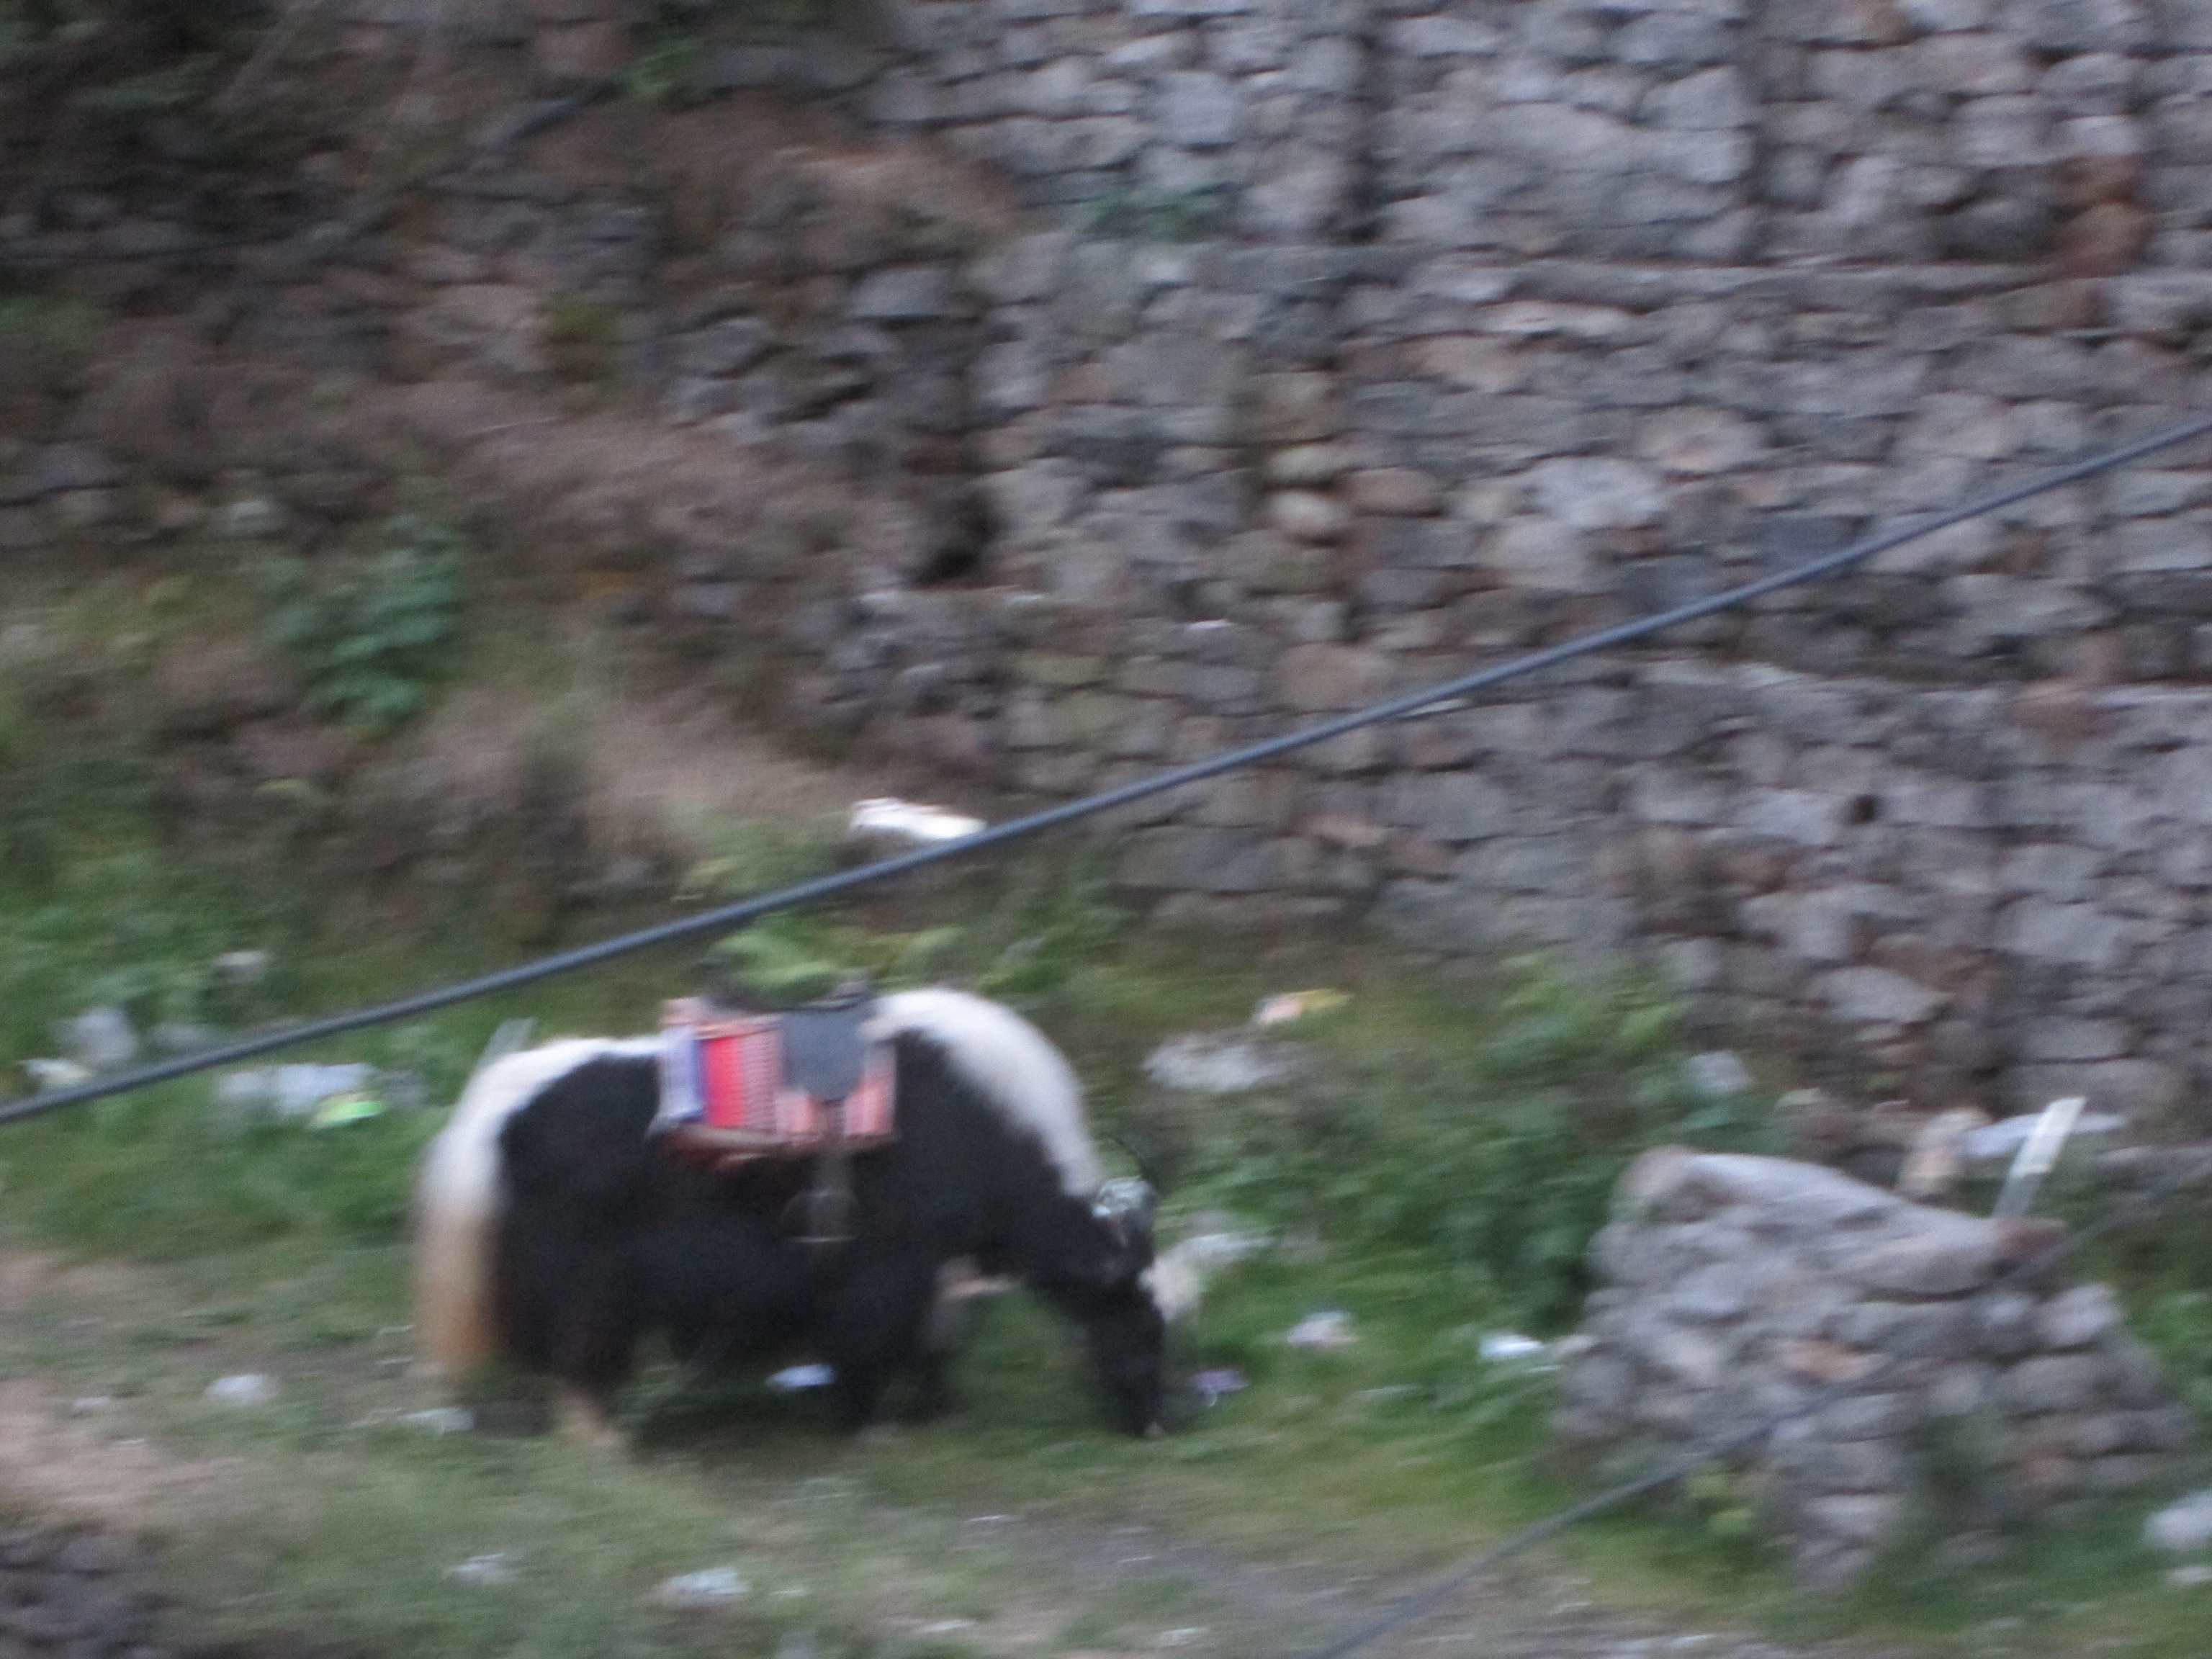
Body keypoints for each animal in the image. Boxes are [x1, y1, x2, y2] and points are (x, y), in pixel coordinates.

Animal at [412, 989, 1169, 1444]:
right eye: (1140, 1329)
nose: (1161, 1424)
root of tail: (491, 1115)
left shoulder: (939, 1267)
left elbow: (936, 1339)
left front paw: (938, 1406)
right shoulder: (888, 1269)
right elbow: (878, 1342)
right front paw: (867, 1421)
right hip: (586, 1281)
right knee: (580, 1358)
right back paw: (606, 1442)